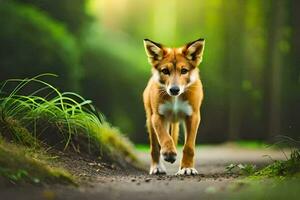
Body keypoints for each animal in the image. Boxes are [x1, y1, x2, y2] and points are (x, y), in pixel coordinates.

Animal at [142, 37, 204, 175]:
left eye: (184, 71)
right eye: (165, 71)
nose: (174, 89)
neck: (175, 99)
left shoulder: (193, 116)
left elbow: (189, 147)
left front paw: (187, 168)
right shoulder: (157, 116)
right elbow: (165, 137)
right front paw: (169, 153)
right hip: (150, 120)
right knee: (154, 148)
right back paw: (156, 167)